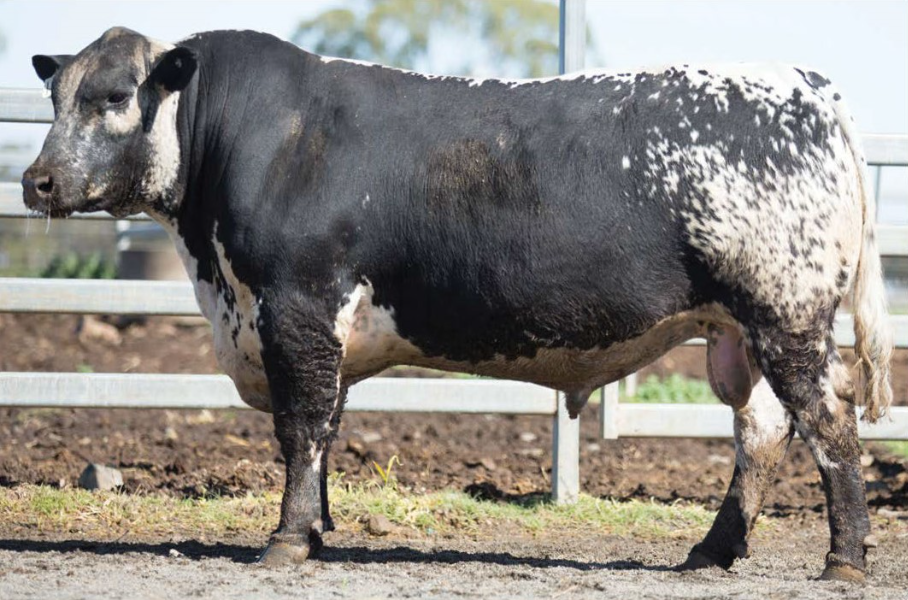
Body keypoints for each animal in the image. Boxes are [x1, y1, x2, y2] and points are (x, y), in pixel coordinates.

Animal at [22, 28, 892, 582]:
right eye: (55, 95)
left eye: (113, 96)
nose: (37, 181)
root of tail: (807, 85)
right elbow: (327, 428)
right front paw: (320, 531)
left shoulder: (299, 307)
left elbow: (300, 428)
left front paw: (286, 541)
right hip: (739, 332)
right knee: (764, 432)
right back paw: (713, 551)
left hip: (787, 317)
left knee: (830, 425)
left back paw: (844, 559)